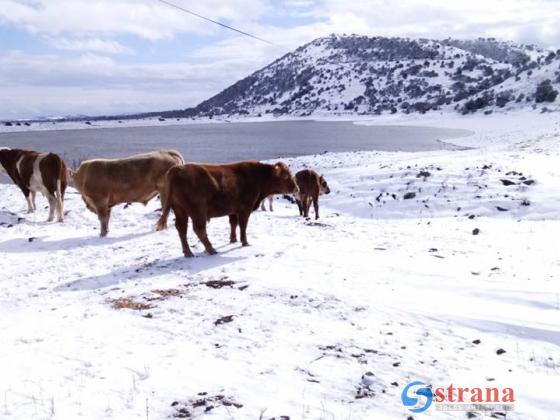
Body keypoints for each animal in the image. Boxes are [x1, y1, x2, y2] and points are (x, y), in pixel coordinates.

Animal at [156, 161, 298, 258]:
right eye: (286, 177)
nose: (296, 188)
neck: (257, 177)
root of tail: (178, 168)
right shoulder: (245, 208)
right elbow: (243, 225)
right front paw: (245, 242)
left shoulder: (233, 209)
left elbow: (233, 223)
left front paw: (233, 239)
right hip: (197, 211)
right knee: (199, 229)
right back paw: (211, 249)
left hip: (180, 210)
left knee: (181, 229)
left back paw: (188, 252)